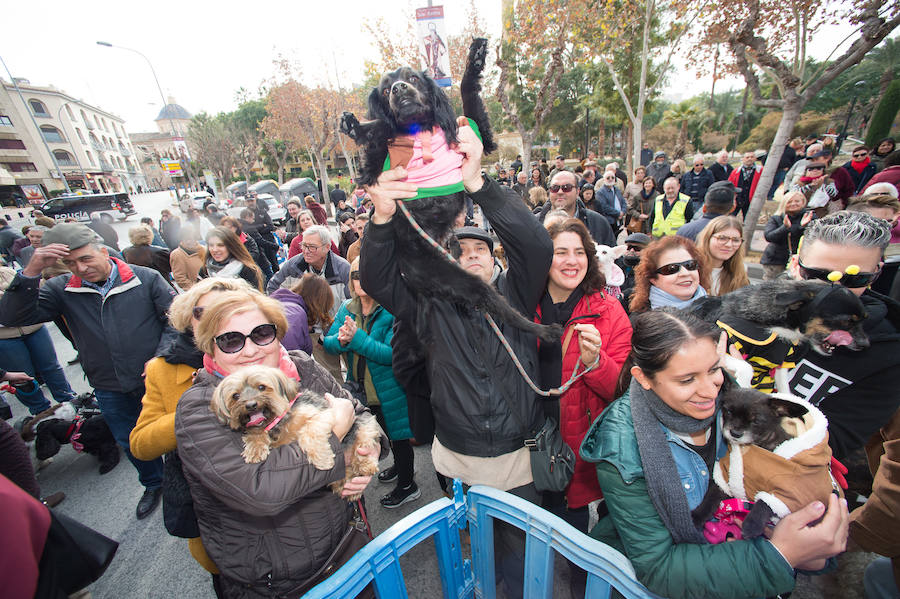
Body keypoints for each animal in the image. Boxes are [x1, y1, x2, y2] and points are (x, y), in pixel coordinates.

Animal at [210, 366, 380, 502]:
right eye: (235, 396)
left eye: (261, 387)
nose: (251, 405)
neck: (278, 421)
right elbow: (255, 433)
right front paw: (255, 449)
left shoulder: (322, 412)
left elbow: (308, 433)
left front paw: (322, 459)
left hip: (363, 426)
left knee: (362, 443)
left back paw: (365, 465)